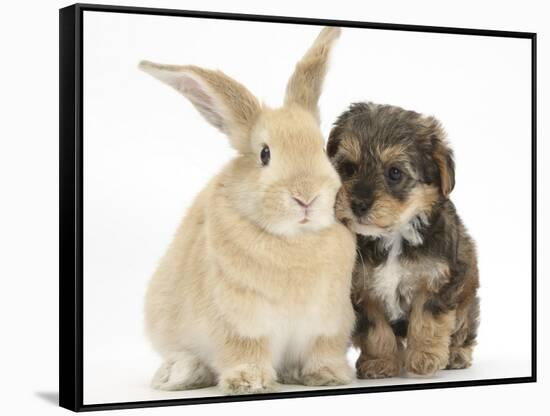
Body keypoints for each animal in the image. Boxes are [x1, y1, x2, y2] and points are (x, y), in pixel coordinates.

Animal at [141, 27, 358, 394]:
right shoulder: (239, 321)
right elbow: (244, 349)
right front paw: (249, 381)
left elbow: (322, 349)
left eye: (322, 149)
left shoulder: (328, 323)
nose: (307, 197)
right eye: (264, 154)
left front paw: (328, 375)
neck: (295, 240)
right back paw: (177, 374)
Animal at [330, 102, 480, 378]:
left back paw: (456, 354)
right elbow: (375, 329)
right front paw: (380, 361)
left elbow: (428, 320)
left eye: (395, 173)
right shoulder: (361, 290)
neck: (394, 234)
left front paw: (425, 357)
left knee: (463, 326)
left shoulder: (438, 279)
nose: (358, 204)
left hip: (466, 296)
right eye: (349, 169)